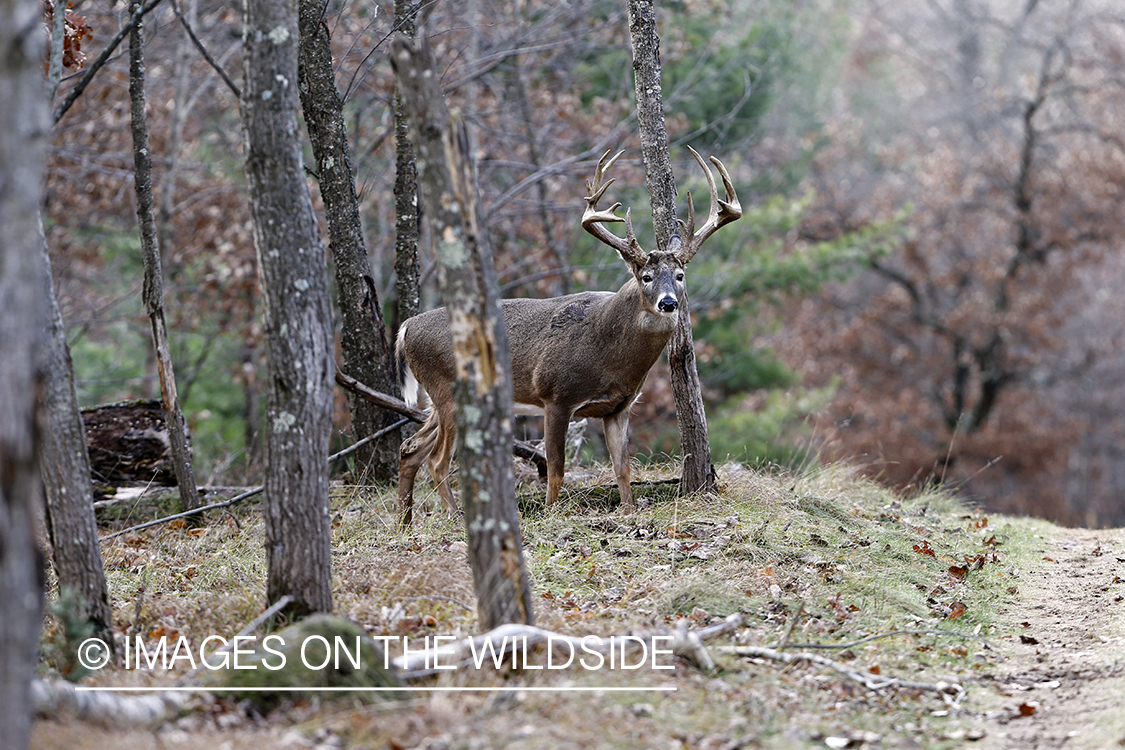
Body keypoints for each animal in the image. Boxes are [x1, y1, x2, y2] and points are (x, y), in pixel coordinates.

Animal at [393, 145, 738, 521]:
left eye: (679, 275)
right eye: (645, 277)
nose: (668, 303)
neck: (609, 354)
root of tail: (406, 328)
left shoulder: (618, 407)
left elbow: (622, 469)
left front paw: (628, 512)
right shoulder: (556, 395)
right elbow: (556, 469)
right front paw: (549, 515)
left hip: (436, 399)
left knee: (410, 447)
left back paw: (404, 522)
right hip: (447, 391)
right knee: (438, 460)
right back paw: (455, 516)